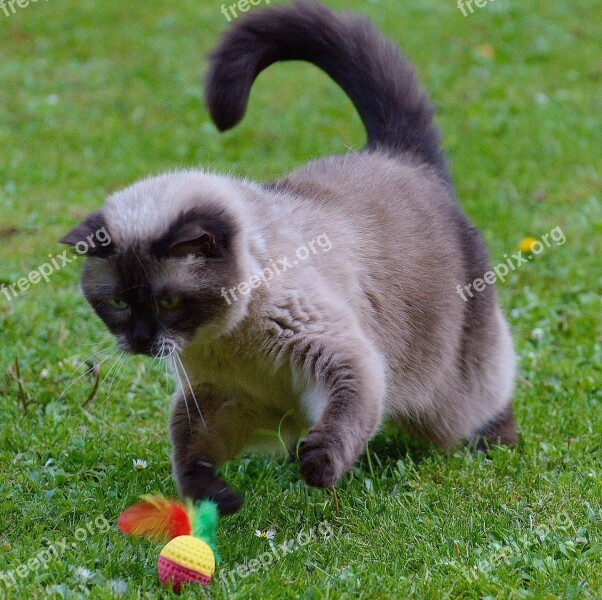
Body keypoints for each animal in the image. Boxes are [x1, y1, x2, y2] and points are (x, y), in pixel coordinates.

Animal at [62, 0, 516, 516]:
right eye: (118, 304)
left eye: (168, 303)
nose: (139, 340)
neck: (227, 340)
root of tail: (400, 154)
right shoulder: (222, 400)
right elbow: (190, 453)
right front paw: (219, 501)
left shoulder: (340, 358)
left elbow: (343, 416)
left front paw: (315, 469)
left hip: (447, 386)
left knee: (484, 397)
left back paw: (498, 446)